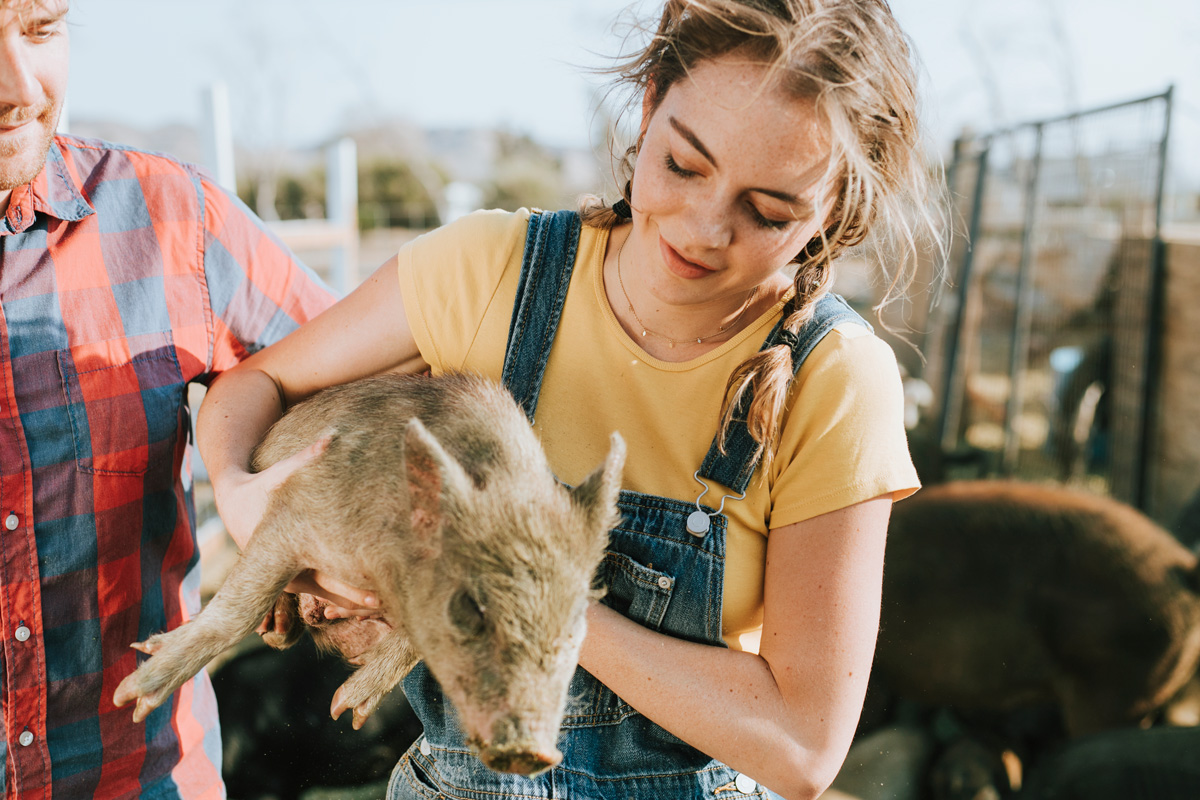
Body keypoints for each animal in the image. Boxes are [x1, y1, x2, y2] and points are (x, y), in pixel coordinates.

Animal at [110, 374, 628, 777]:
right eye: (470, 607)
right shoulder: (301, 505)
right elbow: (237, 609)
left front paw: (344, 709)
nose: (531, 751)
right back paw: (272, 629)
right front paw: (130, 696)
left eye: (575, 623)